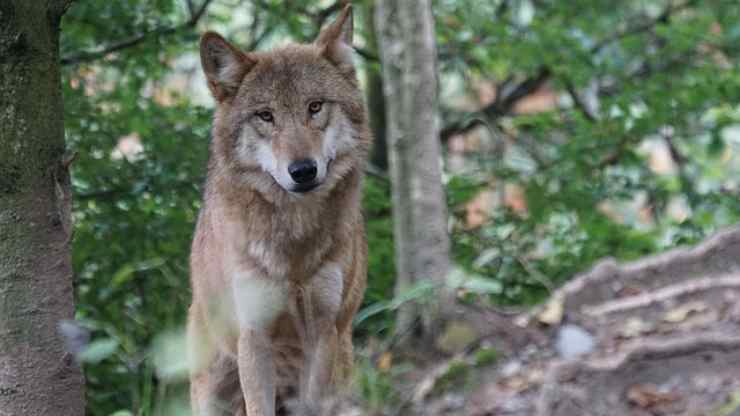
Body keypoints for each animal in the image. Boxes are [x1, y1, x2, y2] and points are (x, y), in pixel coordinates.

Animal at [185, 6, 370, 416]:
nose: (302, 170)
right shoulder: (254, 337)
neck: (294, 242)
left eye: (315, 107)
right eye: (265, 116)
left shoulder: (322, 332)